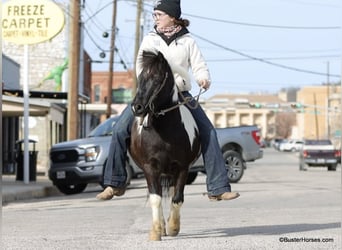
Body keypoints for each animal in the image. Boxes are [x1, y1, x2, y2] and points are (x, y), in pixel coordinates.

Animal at [130, 50, 202, 240]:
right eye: (140, 78)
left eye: (156, 78)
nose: (137, 107)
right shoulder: (150, 168)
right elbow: (155, 198)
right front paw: (156, 231)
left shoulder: (182, 168)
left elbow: (177, 198)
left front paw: (173, 227)